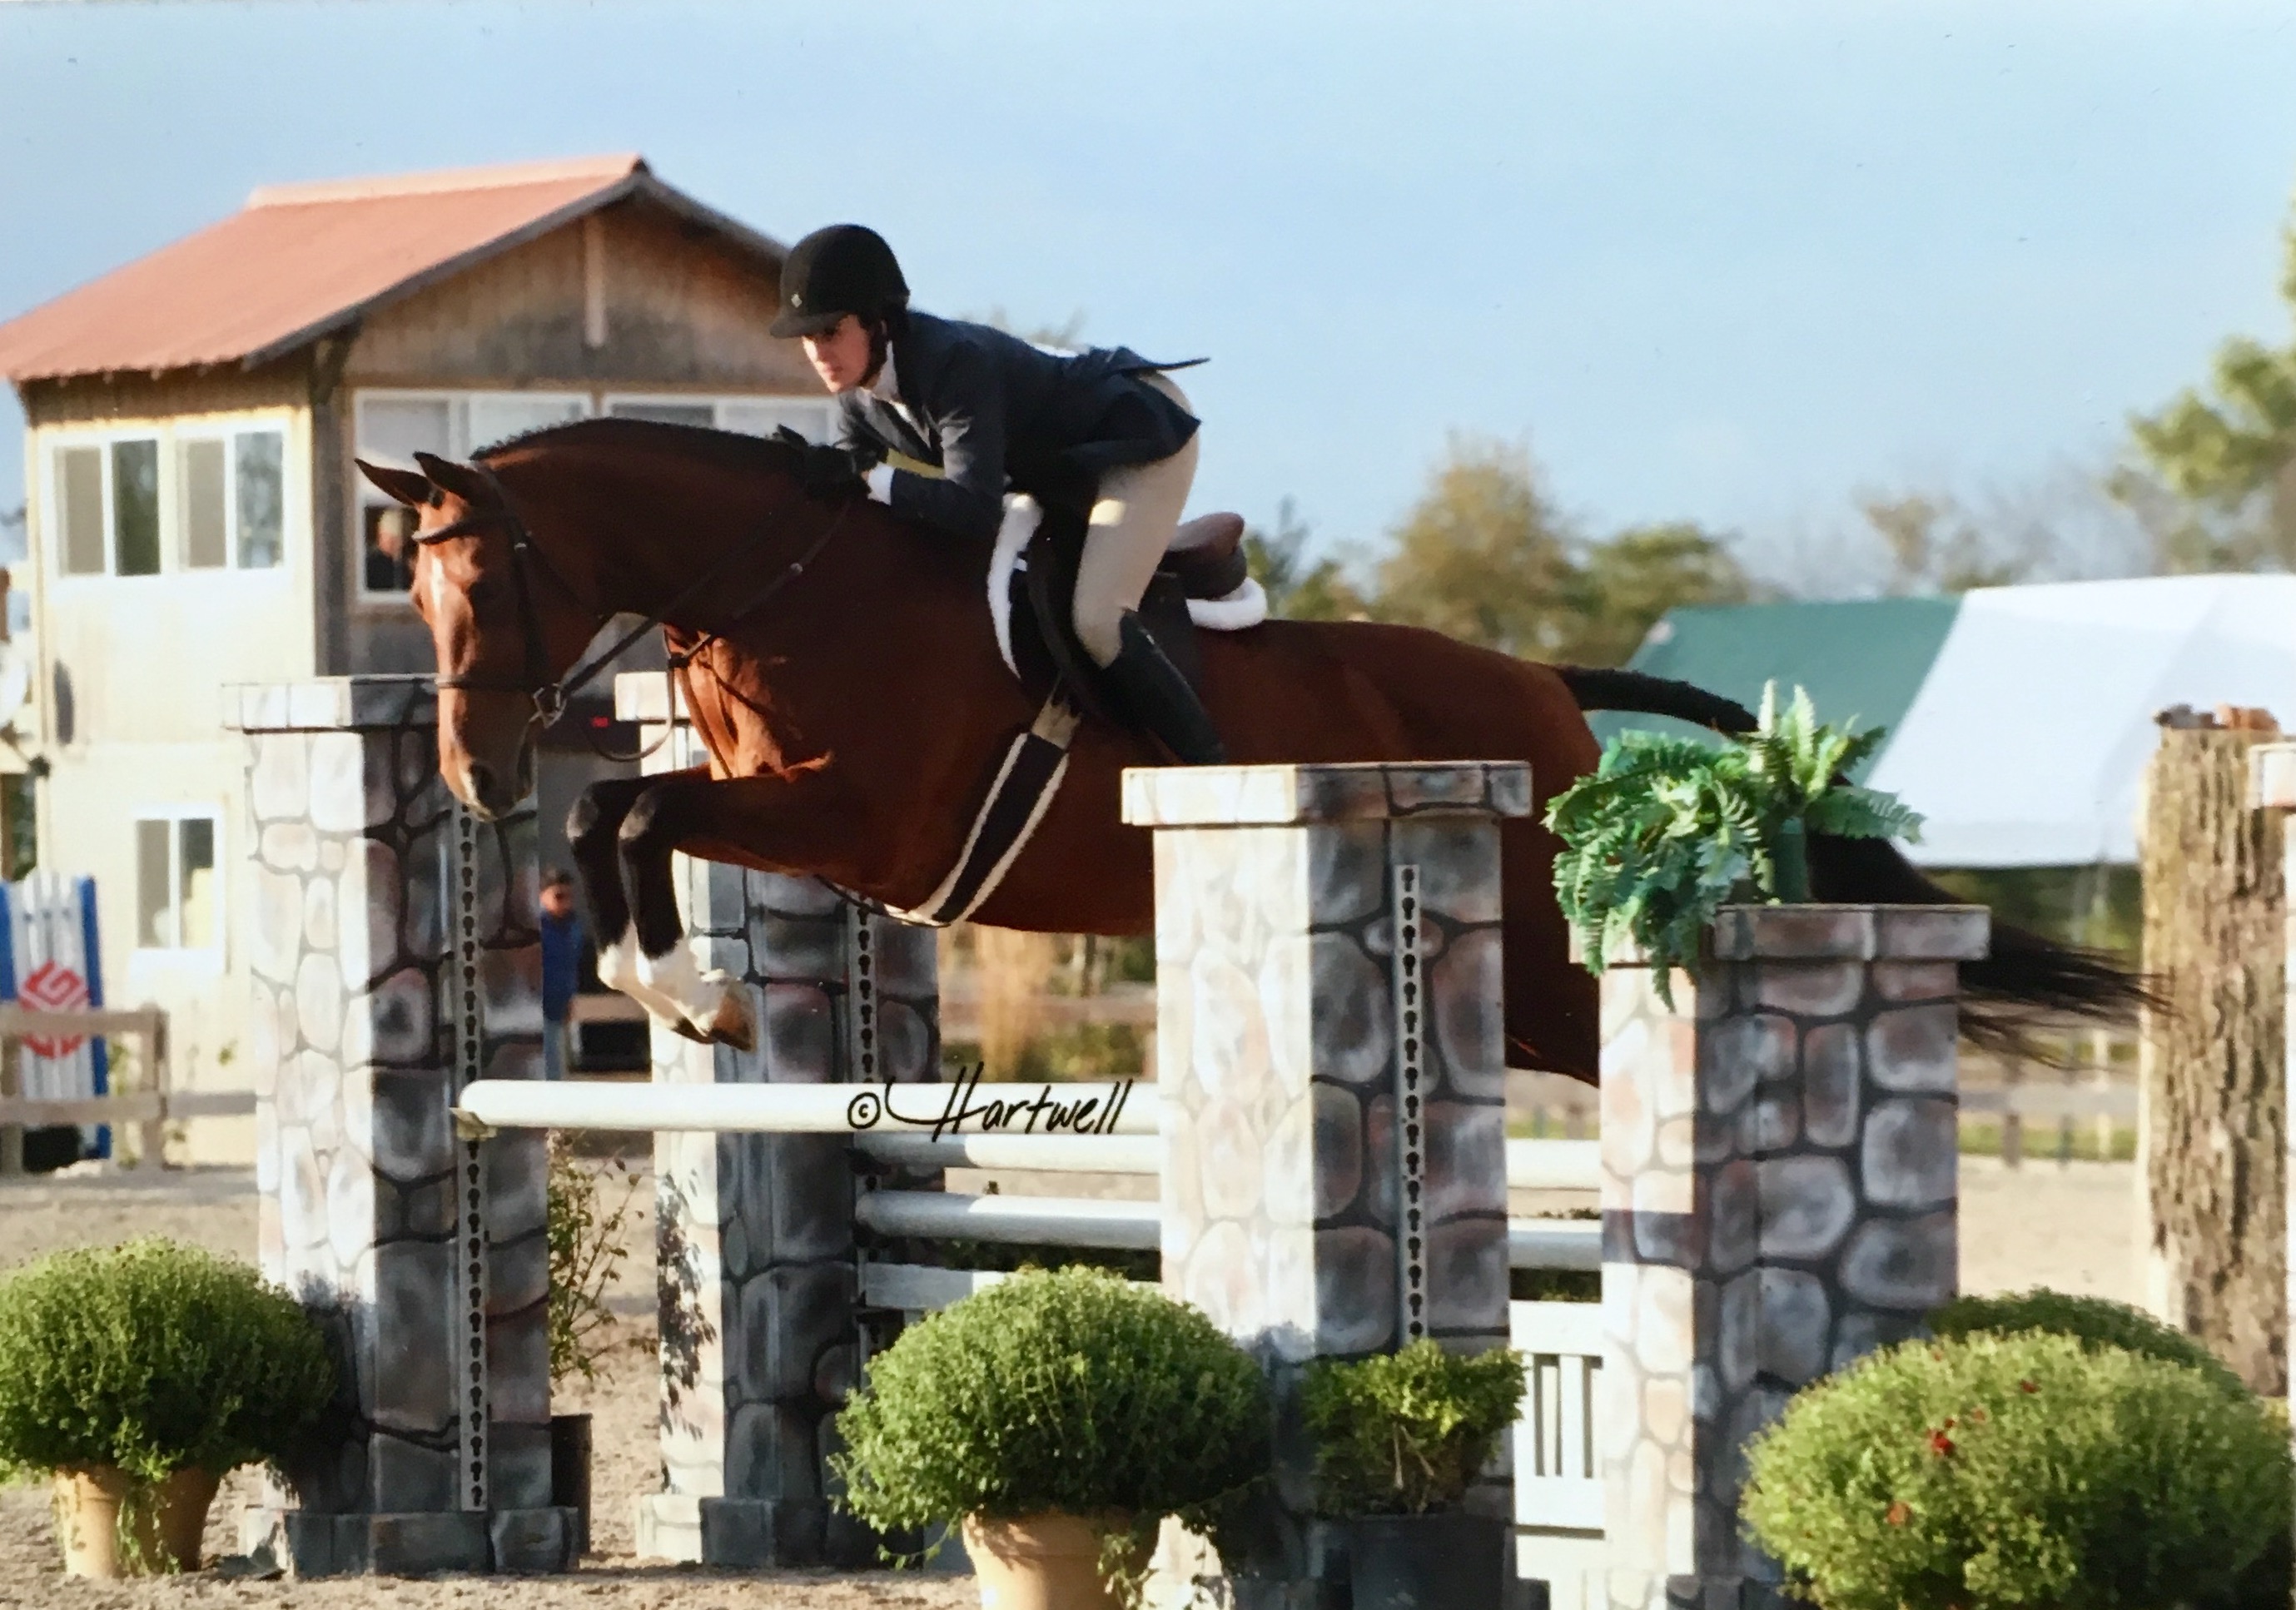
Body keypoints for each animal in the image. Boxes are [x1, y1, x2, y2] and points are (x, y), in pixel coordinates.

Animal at [357, 418, 2143, 1081]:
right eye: (406, 584)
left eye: (480, 585)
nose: (476, 775)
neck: (778, 580)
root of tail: (1543, 691)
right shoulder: (783, 806)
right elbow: (617, 821)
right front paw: (684, 990)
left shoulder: (860, 818)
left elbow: (634, 813)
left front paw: (692, 989)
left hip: (1540, 953)